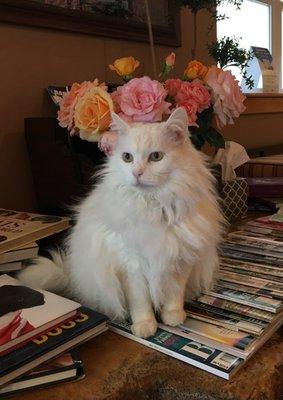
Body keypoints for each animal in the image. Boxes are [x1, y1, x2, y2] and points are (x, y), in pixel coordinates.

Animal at [18, 107, 225, 338]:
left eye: (156, 156)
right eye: (127, 157)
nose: (136, 173)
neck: (153, 208)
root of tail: (70, 274)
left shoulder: (180, 260)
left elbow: (174, 295)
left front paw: (173, 318)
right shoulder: (130, 266)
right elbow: (141, 303)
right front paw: (144, 326)